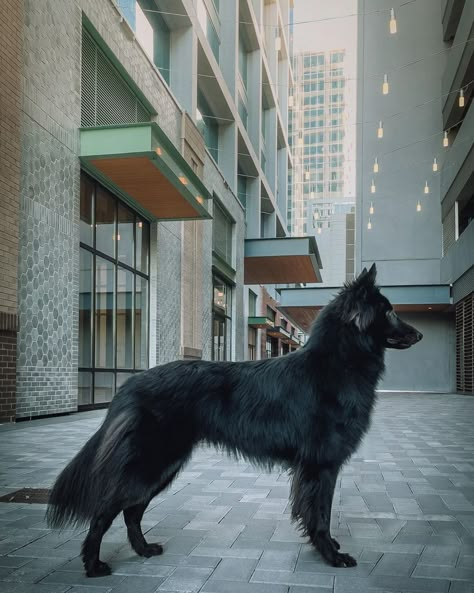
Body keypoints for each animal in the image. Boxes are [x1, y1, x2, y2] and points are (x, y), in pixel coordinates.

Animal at [46, 264, 422, 580]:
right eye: (389, 311)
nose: (419, 335)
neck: (337, 363)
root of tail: (130, 383)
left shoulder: (318, 466)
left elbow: (318, 512)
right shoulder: (321, 465)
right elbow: (321, 515)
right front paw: (330, 554)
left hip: (164, 467)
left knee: (131, 511)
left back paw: (143, 549)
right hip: (151, 464)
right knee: (105, 510)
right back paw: (93, 564)